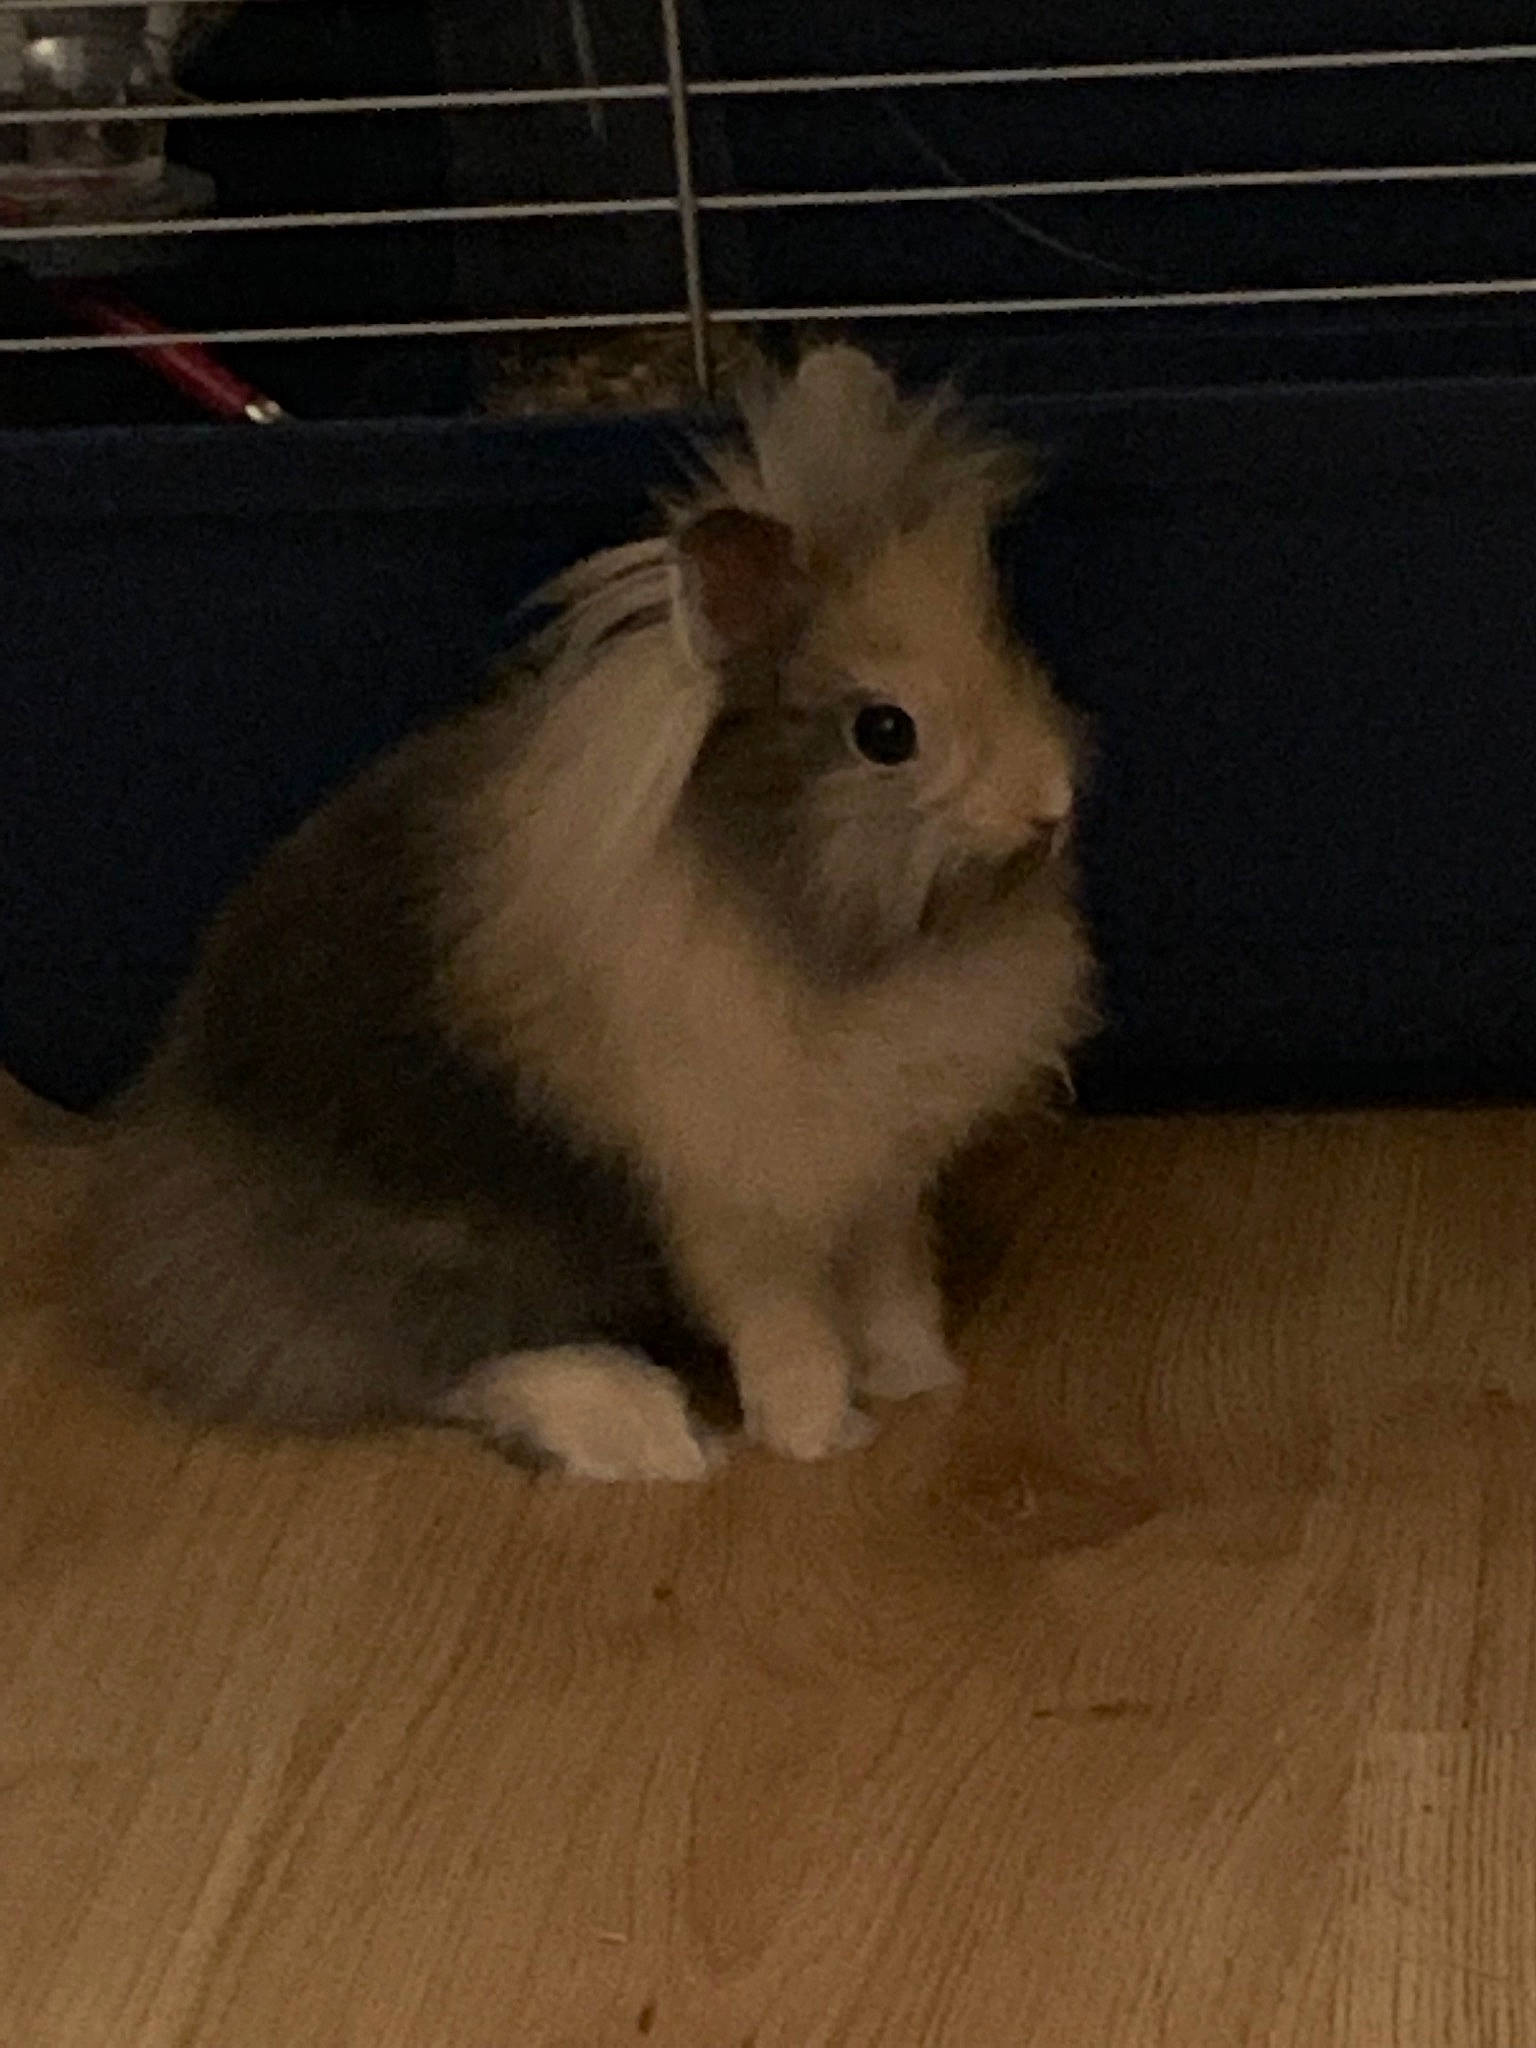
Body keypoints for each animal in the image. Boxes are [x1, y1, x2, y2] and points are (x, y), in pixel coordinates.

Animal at [87, 343, 1095, 1480]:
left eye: (1008, 651)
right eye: (886, 732)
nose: (1052, 805)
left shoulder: (882, 1176)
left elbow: (888, 1284)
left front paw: (921, 1379)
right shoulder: (736, 1198)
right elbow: (782, 1322)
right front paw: (812, 1435)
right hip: (438, 1263)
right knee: (438, 1370)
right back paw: (642, 1427)